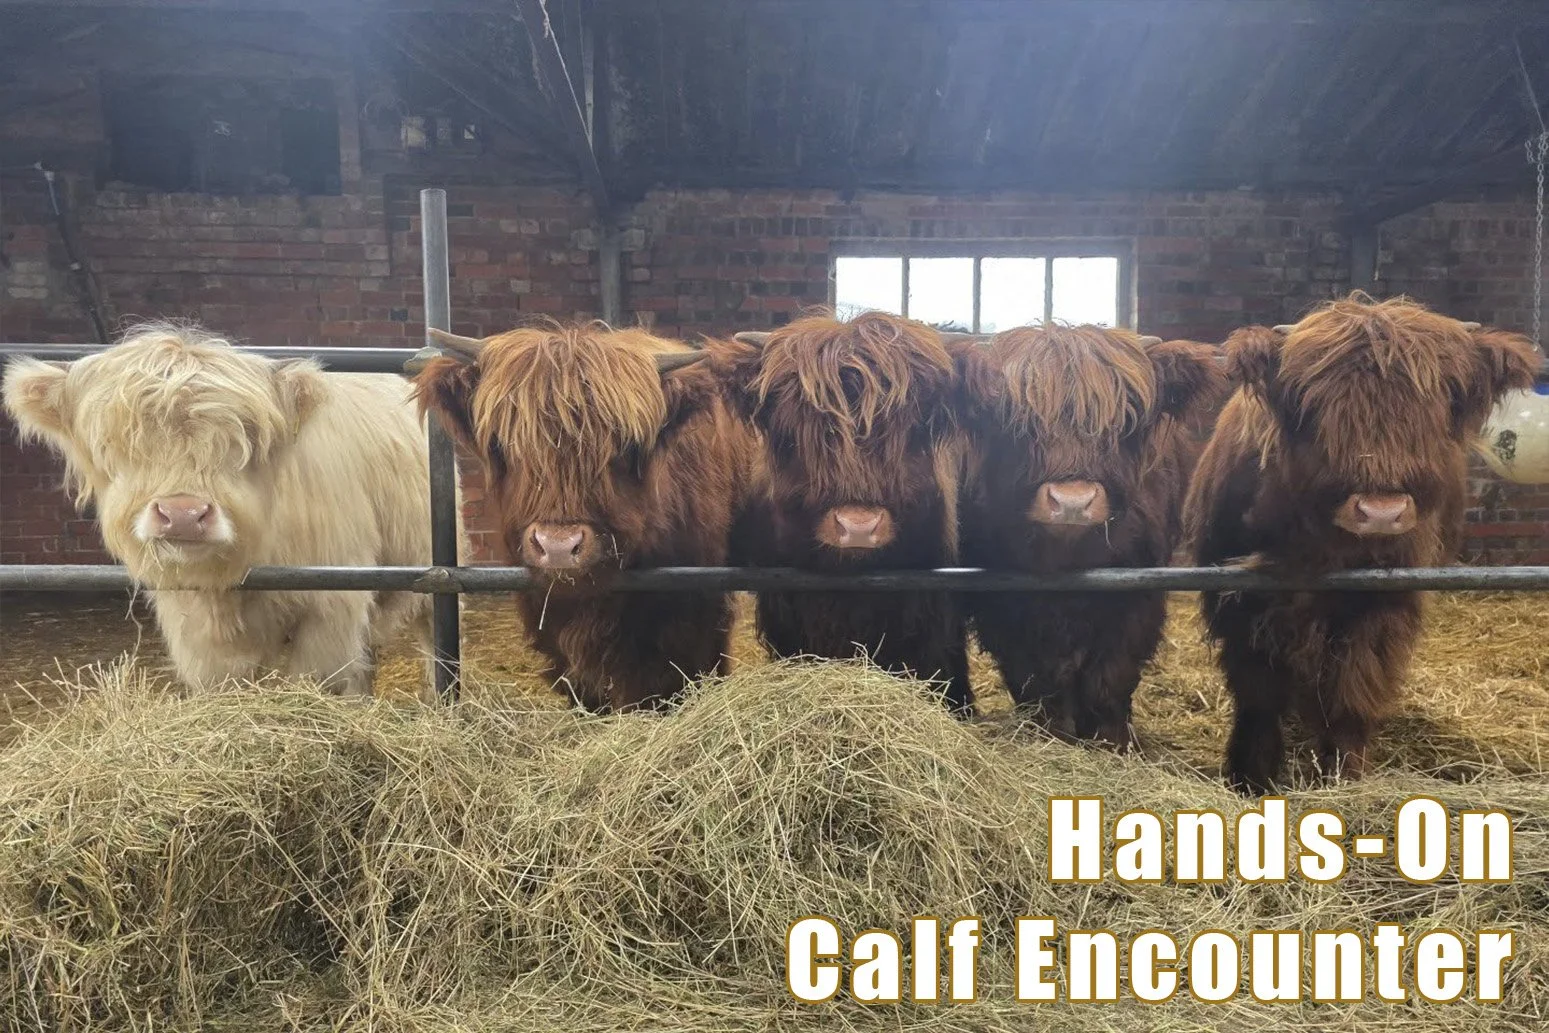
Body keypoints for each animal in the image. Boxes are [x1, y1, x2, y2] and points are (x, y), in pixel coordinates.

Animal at [2, 322, 439, 698]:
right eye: (111, 442)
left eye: (247, 436)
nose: (182, 514)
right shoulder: (194, 630)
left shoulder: (332, 608)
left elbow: (317, 680)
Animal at [954, 325, 1225, 745]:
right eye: (1016, 421)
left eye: (1125, 421)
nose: (1072, 501)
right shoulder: (1003, 602)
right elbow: (1037, 677)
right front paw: (1054, 731)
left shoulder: (1138, 592)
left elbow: (1111, 676)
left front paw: (1112, 739)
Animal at [1185, 295, 1539, 792]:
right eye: (1313, 405)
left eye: (1439, 404)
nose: (1381, 511)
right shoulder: (1241, 604)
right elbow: (1258, 696)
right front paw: (1252, 778)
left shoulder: (1380, 606)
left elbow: (1352, 693)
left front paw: (1344, 774)